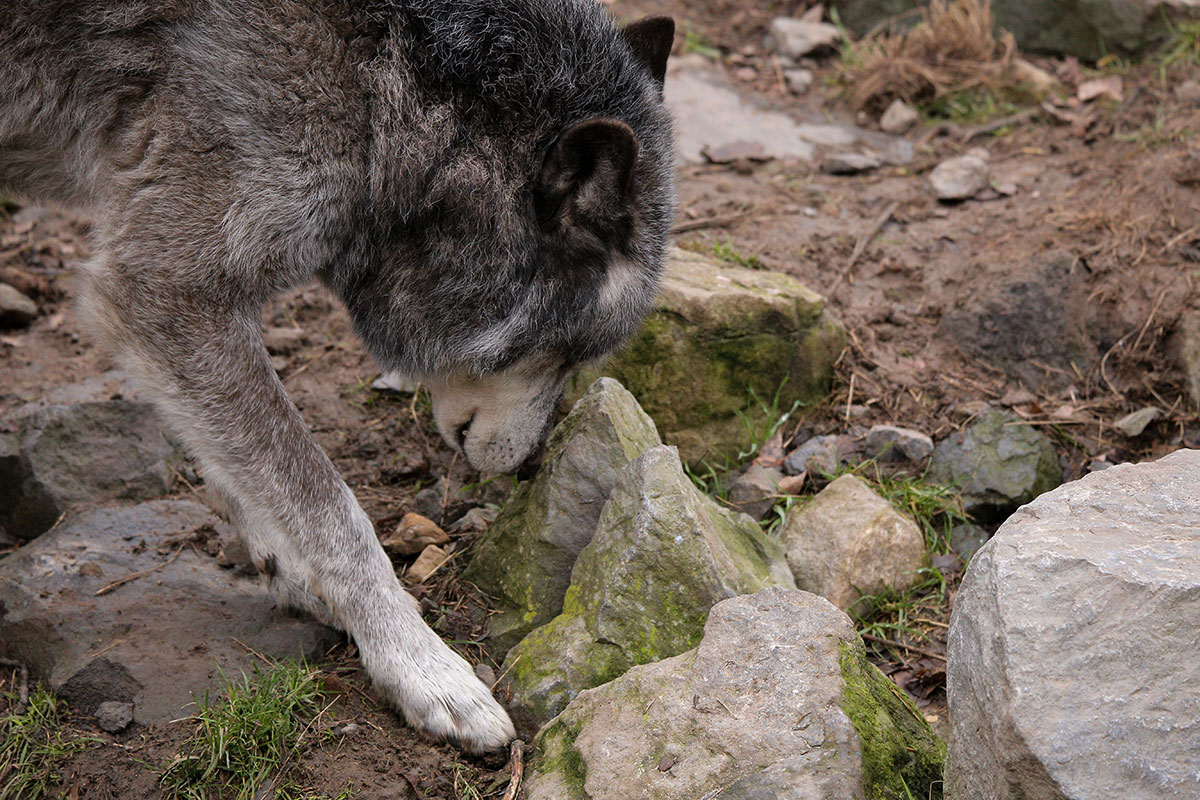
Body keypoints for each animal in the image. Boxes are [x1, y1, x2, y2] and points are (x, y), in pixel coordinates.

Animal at [0, 0, 675, 751]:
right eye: (569, 354)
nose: (531, 468)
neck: (388, 86)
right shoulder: (167, 291)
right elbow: (331, 510)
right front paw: (419, 666)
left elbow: (246, 466)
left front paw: (280, 557)